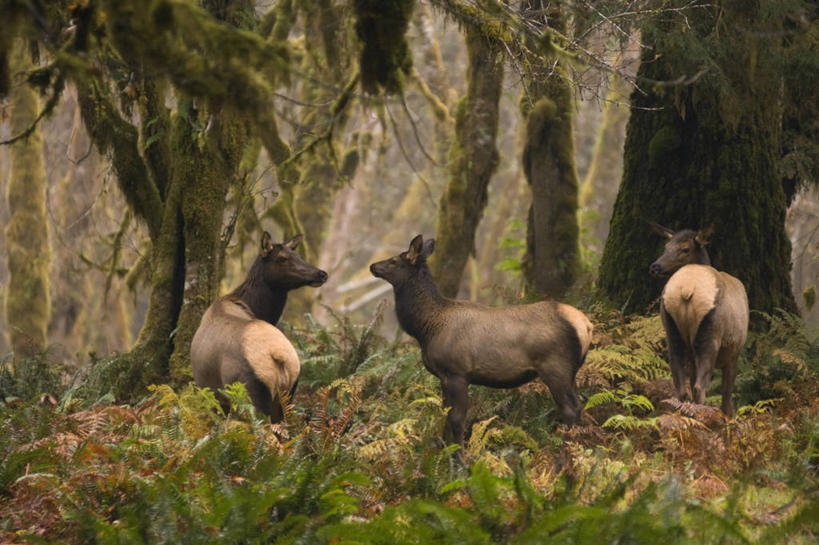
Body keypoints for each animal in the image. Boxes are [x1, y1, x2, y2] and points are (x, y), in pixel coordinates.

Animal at [192, 230, 330, 420]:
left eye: (298, 255)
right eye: (282, 258)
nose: (321, 273)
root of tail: (279, 356)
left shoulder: (210, 394)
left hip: (251, 394)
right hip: (287, 395)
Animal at [368, 236, 592, 444]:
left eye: (395, 260)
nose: (373, 266)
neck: (425, 328)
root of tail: (586, 325)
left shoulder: (456, 372)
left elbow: (456, 419)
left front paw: (459, 457)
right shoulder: (443, 375)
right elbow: (444, 415)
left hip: (555, 366)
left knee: (571, 409)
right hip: (570, 371)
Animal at [652, 223, 752, 414]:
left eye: (684, 249)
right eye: (666, 247)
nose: (655, 267)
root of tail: (686, 289)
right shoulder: (734, 351)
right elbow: (727, 394)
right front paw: (729, 415)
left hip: (671, 329)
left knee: (681, 384)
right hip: (710, 333)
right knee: (700, 386)